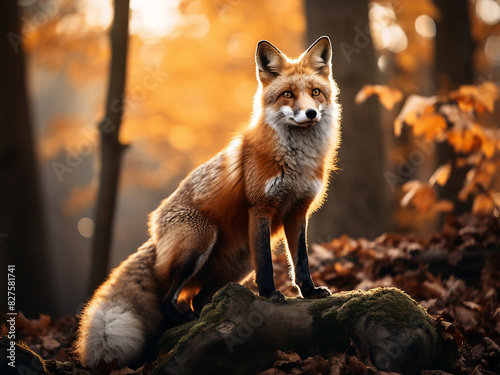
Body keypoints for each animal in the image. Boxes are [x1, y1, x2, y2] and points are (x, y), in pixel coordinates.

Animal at [75, 36, 340, 370]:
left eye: (315, 93)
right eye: (287, 94)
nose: (311, 114)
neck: (297, 161)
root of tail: (154, 232)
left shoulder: (297, 212)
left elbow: (301, 261)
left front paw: (309, 292)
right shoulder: (260, 208)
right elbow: (267, 263)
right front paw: (269, 294)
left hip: (239, 262)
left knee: (199, 298)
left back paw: (202, 315)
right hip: (201, 239)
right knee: (166, 297)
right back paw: (183, 319)